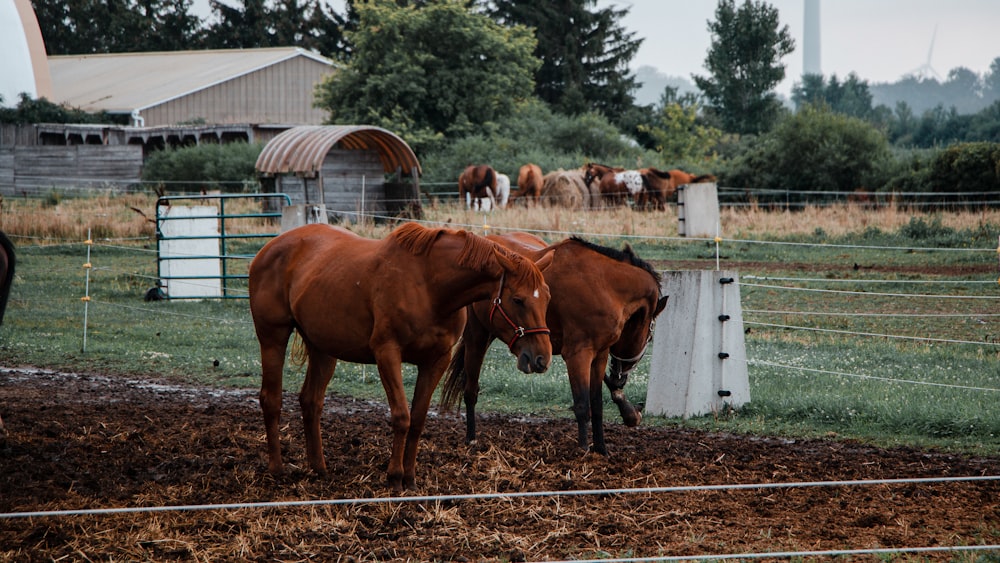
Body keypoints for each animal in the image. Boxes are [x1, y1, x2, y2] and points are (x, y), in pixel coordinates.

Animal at [246, 220, 552, 490]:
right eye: (518, 299)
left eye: (547, 297)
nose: (541, 358)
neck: (429, 286)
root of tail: (269, 248)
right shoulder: (387, 354)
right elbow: (401, 417)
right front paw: (394, 477)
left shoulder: (435, 362)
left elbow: (417, 420)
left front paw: (410, 477)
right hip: (273, 337)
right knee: (271, 399)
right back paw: (277, 468)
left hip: (323, 349)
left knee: (311, 401)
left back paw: (319, 468)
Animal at [442, 231, 668, 456]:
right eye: (650, 336)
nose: (620, 377)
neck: (603, 284)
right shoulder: (578, 355)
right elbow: (582, 405)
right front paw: (583, 450)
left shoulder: (600, 355)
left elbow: (596, 404)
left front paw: (601, 449)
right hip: (478, 337)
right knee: (471, 391)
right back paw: (471, 438)